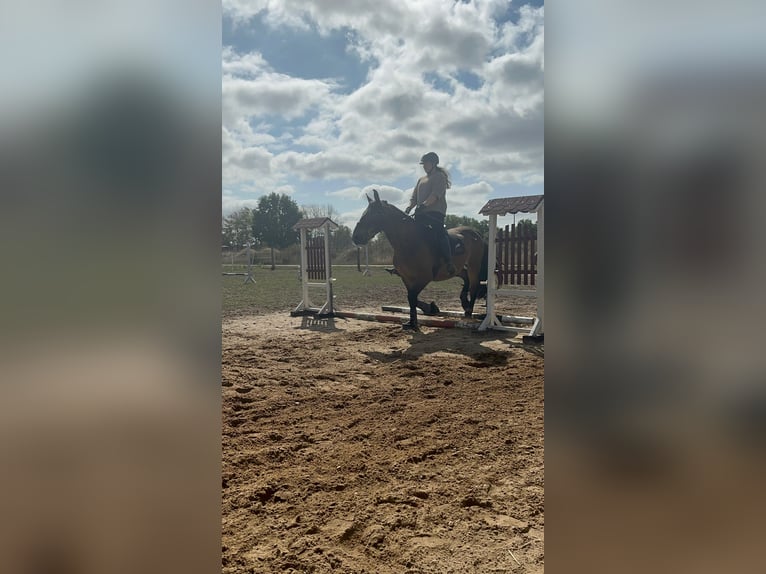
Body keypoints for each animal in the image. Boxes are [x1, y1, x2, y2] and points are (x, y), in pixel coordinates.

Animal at [352, 190, 488, 330]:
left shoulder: (424, 278)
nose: (356, 237)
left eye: (377, 213)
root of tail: (475, 233)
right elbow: (411, 299)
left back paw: (468, 310)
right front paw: (416, 319)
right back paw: (464, 302)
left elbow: (412, 297)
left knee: (474, 285)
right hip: (457, 269)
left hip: (473, 266)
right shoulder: (406, 278)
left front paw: (420, 317)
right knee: (466, 278)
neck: (409, 243)